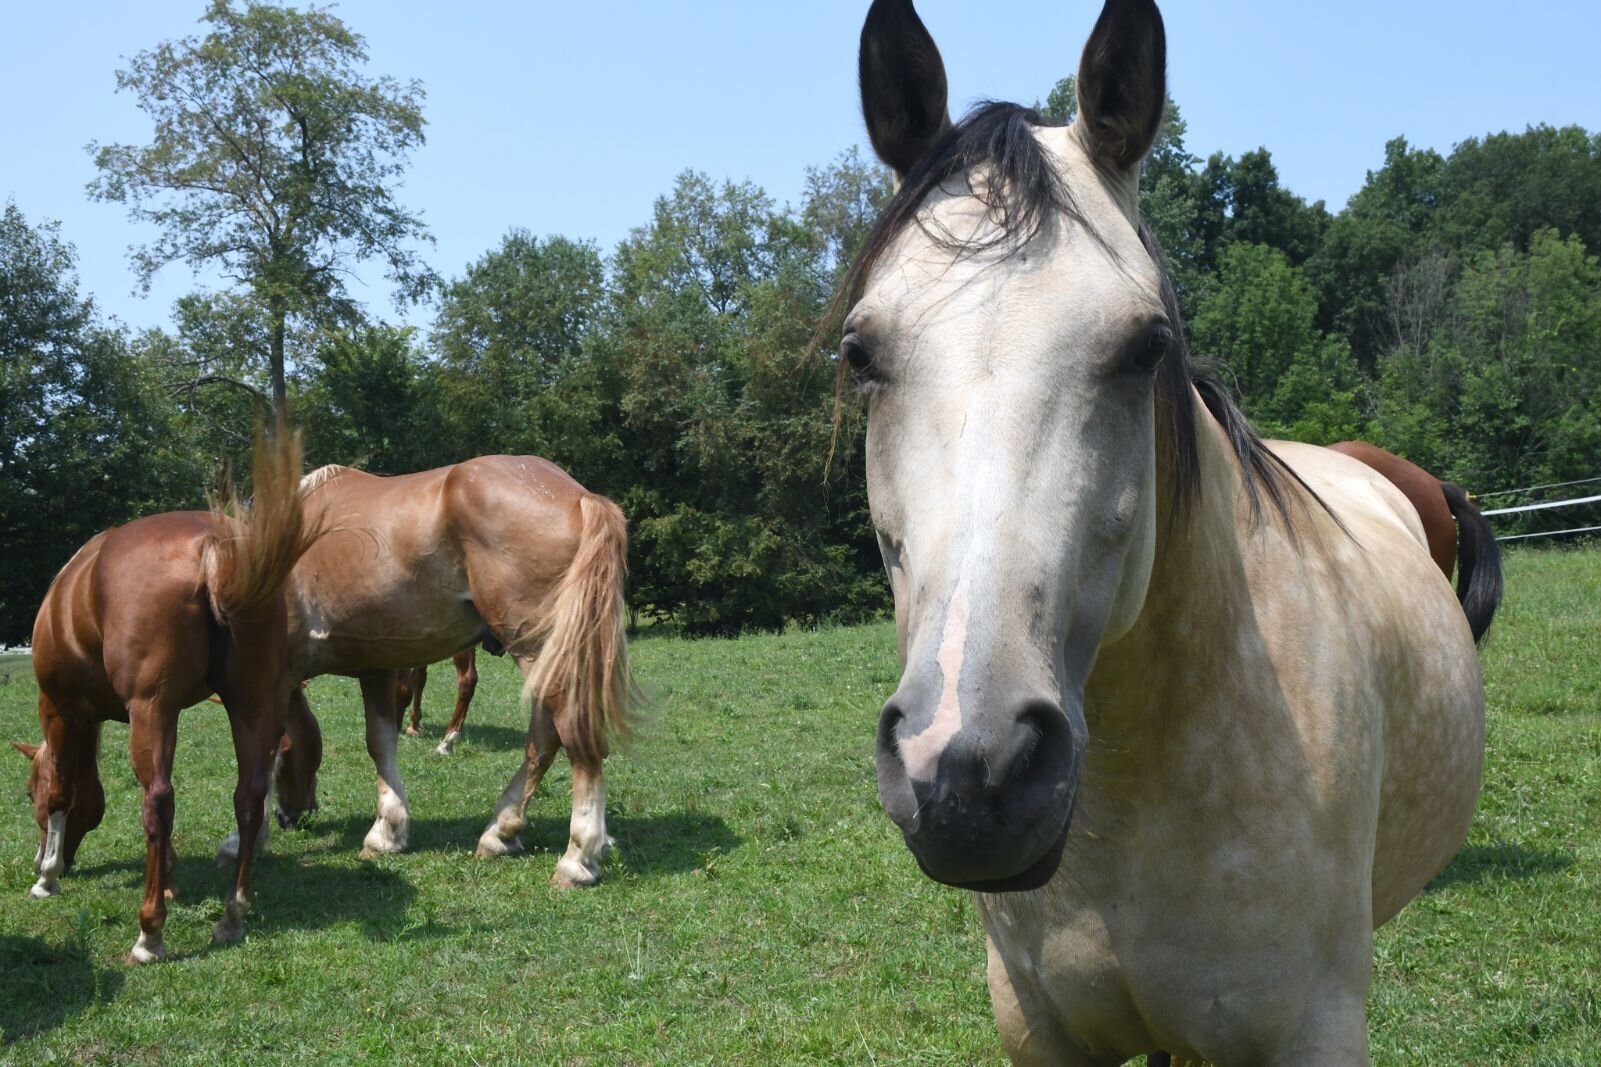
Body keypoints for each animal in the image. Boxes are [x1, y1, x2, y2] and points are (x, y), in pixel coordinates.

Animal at [15, 422, 315, 961]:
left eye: (27, 792)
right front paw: (171, 879)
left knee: (159, 801)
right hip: (250, 701)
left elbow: (64, 793)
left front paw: (47, 877)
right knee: (249, 797)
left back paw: (149, 933)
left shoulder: (62, 710)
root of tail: (213, 548)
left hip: (152, 708)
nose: (45, 861)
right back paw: (232, 915)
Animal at [267, 451, 630, 884]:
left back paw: (577, 857)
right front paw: (388, 832)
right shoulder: (377, 666)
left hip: (538, 650)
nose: (288, 817)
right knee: (543, 739)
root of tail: (579, 496)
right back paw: (501, 832)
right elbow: (380, 741)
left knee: (569, 734)